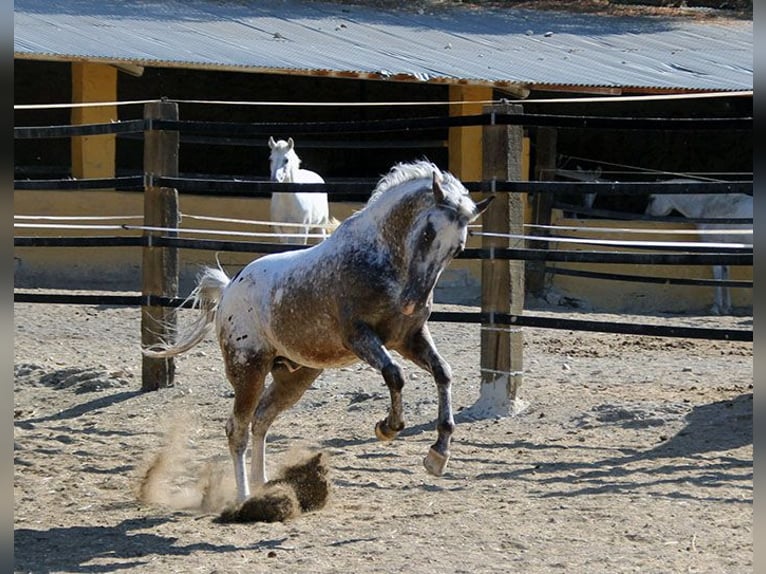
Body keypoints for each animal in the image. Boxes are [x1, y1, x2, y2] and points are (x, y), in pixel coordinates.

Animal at [147, 160, 496, 502]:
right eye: (427, 233)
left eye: (457, 248)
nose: (413, 302)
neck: (380, 259)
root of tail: (229, 288)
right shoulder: (359, 337)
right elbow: (395, 374)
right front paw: (387, 427)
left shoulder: (408, 339)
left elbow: (443, 372)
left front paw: (438, 455)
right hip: (248, 370)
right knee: (238, 429)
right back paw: (244, 497)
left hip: (293, 376)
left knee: (261, 420)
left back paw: (263, 486)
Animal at [648, 183, 756, 316]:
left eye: (652, 199)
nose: (646, 213)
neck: (708, 205)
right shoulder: (726, 247)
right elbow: (725, 274)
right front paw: (726, 308)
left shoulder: (714, 246)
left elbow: (718, 275)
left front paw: (716, 308)